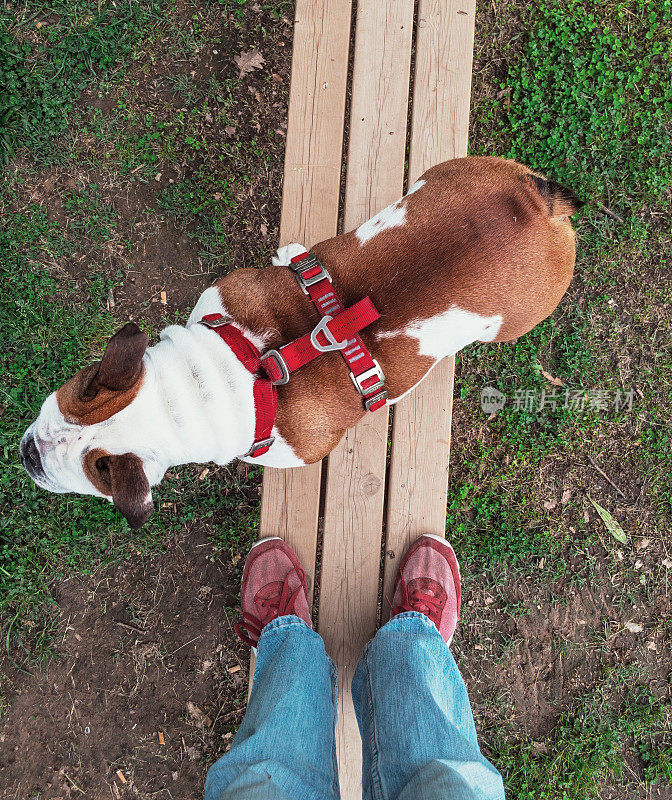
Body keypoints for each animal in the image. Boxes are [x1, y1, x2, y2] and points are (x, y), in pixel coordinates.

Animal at [19, 159, 584, 528]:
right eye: (52, 409)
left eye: (77, 479)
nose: (26, 454)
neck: (238, 372)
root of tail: (539, 203)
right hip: (442, 175)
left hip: (520, 315)